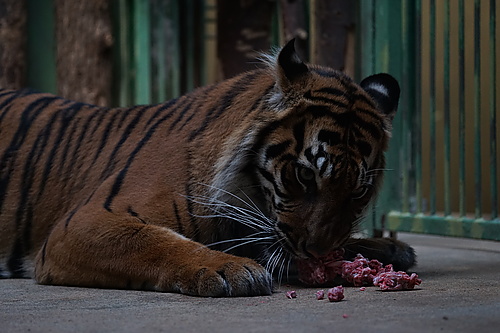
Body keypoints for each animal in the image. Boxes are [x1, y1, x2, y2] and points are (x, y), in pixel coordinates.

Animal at [0, 39, 414, 296]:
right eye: (304, 175)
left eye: (358, 192)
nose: (317, 253)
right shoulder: (81, 224)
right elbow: (150, 241)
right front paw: (228, 269)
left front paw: (386, 248)